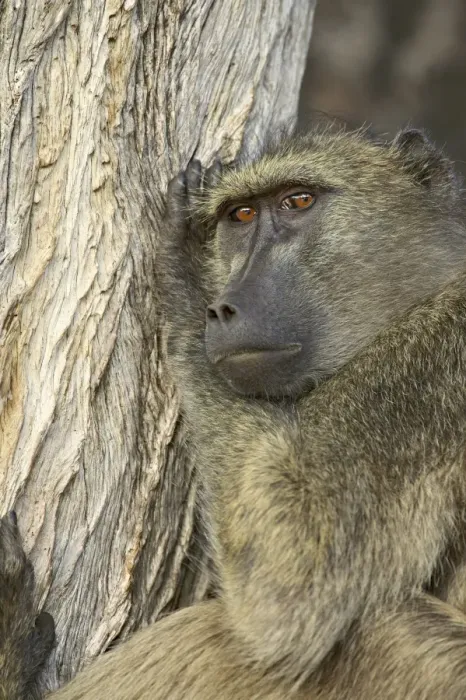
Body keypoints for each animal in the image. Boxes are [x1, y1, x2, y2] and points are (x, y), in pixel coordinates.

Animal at [5, 124, 466, 699]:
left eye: (298, 201)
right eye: (240, 216)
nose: (222, 308)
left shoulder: (421, 377)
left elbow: (288, 583)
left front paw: (181, 265)